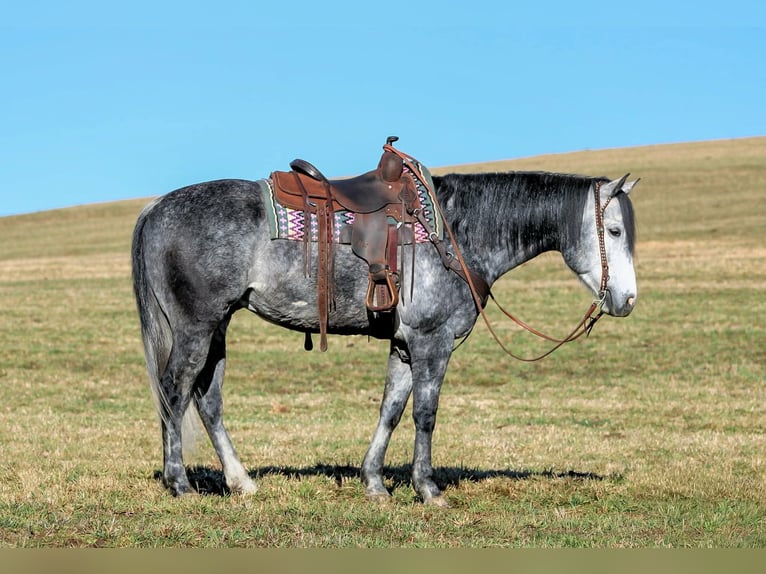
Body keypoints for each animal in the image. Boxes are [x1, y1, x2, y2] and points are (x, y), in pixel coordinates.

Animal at [131, 164, 638, 506]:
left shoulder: (405, 345)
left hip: (217, 329)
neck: (458, 233)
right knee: (175, 393)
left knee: (208, 400)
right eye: (613, 230)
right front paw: (428, 488)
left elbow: (391, 410)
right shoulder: (433, 342)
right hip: (195, 328)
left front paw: (374, 482)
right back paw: (180, 484)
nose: (628, 300)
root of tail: (155, 207)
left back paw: (241, 481)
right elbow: (425, 414)